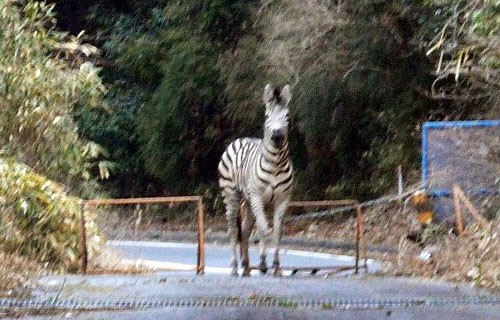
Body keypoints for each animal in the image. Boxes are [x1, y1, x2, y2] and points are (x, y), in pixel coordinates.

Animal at [219, 84, 292, 276]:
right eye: (267, 116)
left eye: (287, 116)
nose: (277, 137)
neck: (275, 164)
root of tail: (241, 138)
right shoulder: (258, 197)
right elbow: (264, 229)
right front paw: (263, 263)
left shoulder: (283, 199)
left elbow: (277, 232)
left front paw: (276, 266)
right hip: (232, 194)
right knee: (233, 228)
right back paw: (234, 267)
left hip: (248, 200)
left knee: (244, 229)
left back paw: (246, 266)